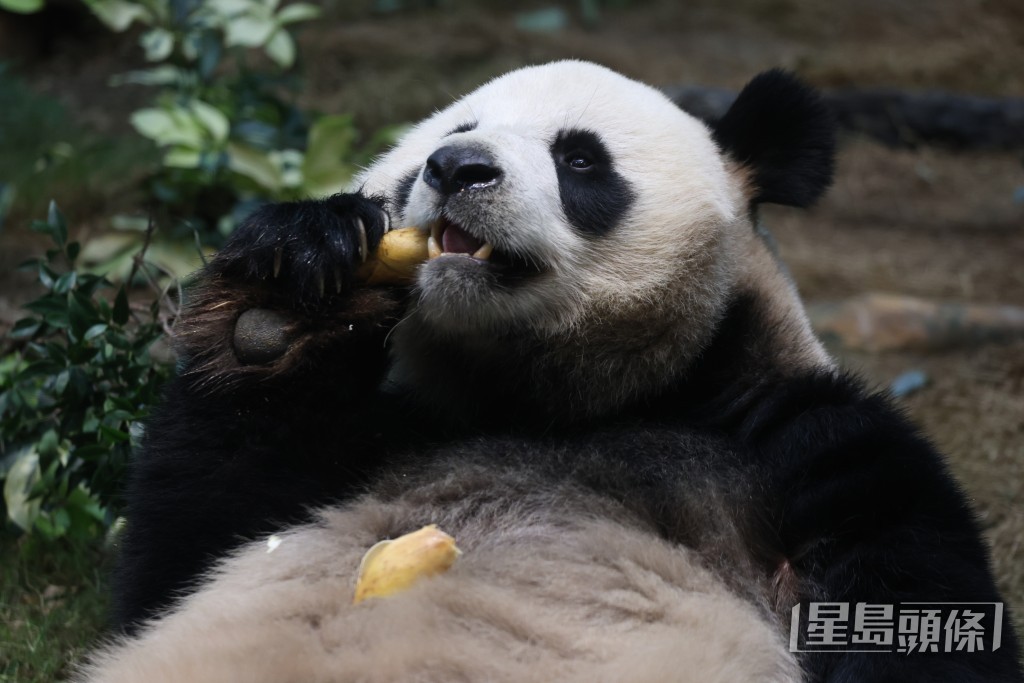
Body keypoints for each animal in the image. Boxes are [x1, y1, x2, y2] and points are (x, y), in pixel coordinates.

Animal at [81, 62, 1024, 683]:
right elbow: (181, 549)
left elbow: (914, 609)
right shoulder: (379, 434)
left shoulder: (794, 439)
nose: (457, 169)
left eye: (579, 159)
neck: (554, 399)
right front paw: (280, 301)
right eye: (454, 132)